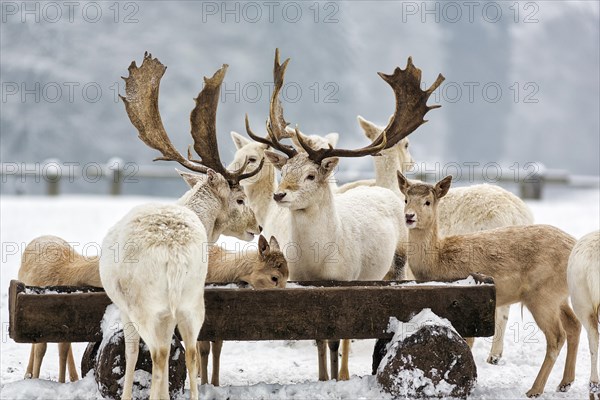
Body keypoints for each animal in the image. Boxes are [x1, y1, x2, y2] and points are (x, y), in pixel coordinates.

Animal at [101, 53, 262, 400]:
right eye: (240, 199)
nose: (257, 226)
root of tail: (172, 254)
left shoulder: (125, 309)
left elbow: (131, 353)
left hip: (149, 305)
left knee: (160, 354)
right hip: (192, 298)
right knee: (190, 352)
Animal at [197, 236, 288, 386]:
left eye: (287, 279)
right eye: (274, 278)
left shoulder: (220, 322)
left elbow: (217, 350)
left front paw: (215, 383)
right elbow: (204, 350)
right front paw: (205, 383)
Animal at [244, 50, 446, 382]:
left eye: (311, 175)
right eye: (284, 171)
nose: (280, 194)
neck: (317, 259)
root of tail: (387, 190)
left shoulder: (343, 280)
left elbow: (338, 337)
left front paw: (336, 377)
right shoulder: (300, 282)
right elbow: (318, 337)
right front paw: (322, 376)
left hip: (396, 263)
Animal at [398, 172, 580, 396]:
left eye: (427, 201)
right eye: (406, 199)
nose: (409, 216)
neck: (438, 260)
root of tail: (575, 246)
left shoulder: (463, 304)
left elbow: (467, 343)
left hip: (543, 295)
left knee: (556, 336)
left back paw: (534, 389)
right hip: (559, 296)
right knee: (574, 325)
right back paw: (565, 383)